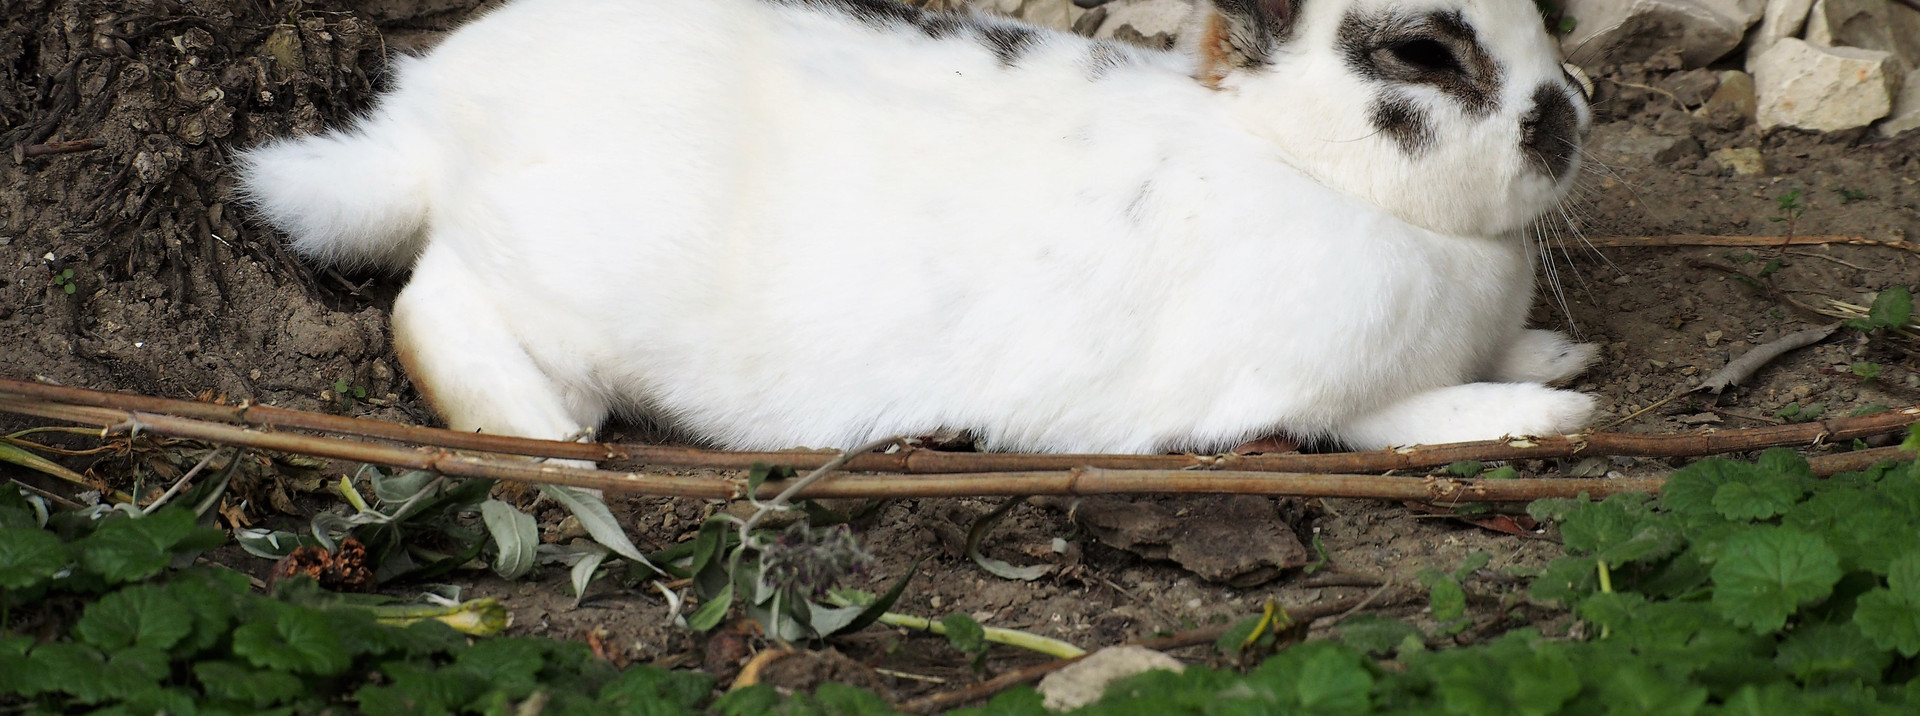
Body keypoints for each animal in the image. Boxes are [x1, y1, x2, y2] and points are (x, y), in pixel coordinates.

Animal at [237, 0, 1599, 456]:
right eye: (1423, 55)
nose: (1573, 115)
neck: (1301, 158)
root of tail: (429, 122)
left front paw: (1555, 354)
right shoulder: (1305, 390)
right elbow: (1406, 419)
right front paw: (1553, 411)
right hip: (558, 285)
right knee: (431, 305)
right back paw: (544, 431)